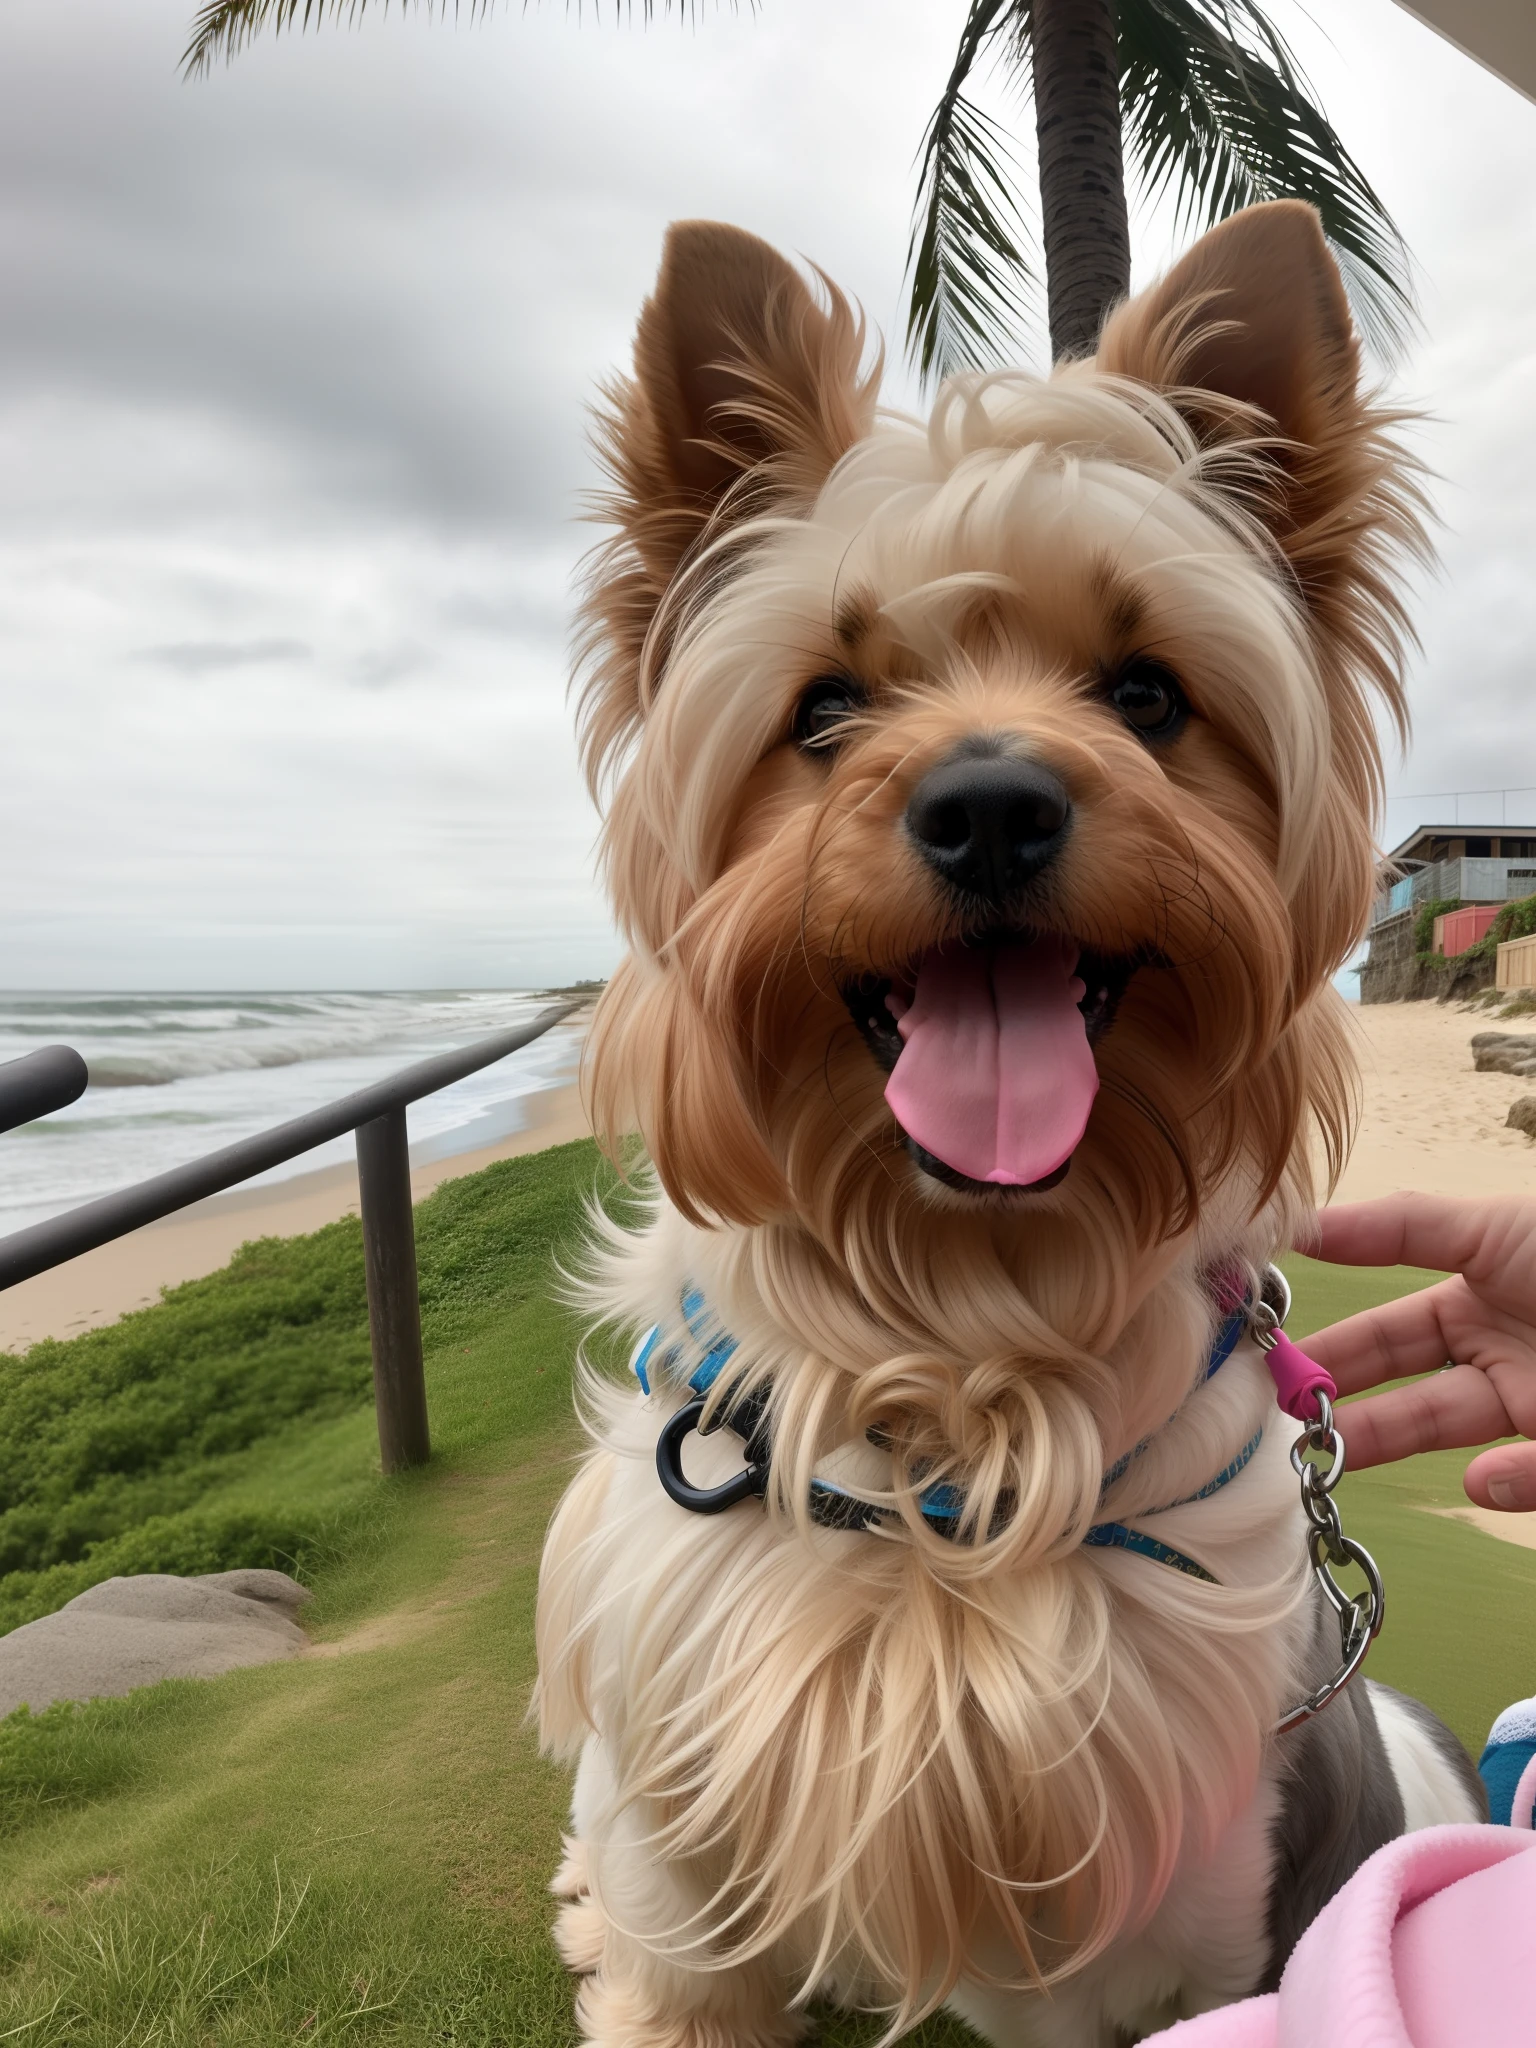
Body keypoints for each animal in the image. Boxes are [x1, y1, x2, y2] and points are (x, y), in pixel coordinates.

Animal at [536, 203, 1490, 2048]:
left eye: (1146, 692)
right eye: (824, 709)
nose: (988, 806)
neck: (957, 1343)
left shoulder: (1166, 1914)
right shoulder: (682, 1852)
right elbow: (672, 1958)